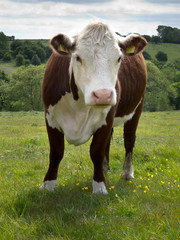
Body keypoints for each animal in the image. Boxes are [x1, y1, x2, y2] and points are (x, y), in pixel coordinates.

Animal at [40, 21, 147, 194]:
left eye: (119, 58)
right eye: (77, 57)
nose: (103, 95)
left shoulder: (107, 117)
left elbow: (96, 151)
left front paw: (99, 186)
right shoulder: (50, 117)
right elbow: (56, 152)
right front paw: (48, 184)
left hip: (137, 107)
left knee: (129, 139)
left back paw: (126, 172)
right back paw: (104, 168)